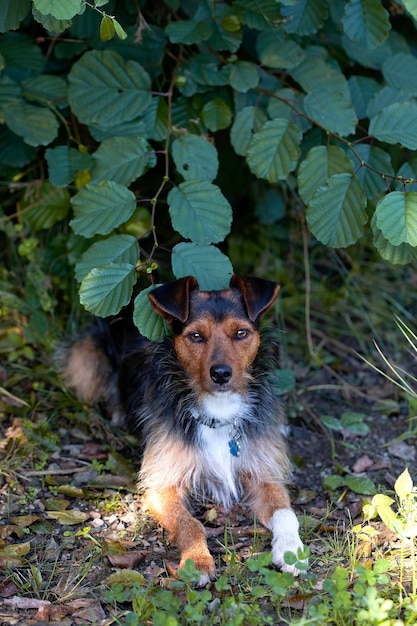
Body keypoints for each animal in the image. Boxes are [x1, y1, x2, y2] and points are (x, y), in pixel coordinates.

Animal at [57, 272, 306, 580]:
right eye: (196, 336)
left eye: (241, 333)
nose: (221, 374)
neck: (218, 413)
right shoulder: (162, 486)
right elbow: (190, 523)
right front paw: (197, 560)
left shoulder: (264, 476)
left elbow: (287, 512)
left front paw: (292, 550)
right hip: (86, 355)